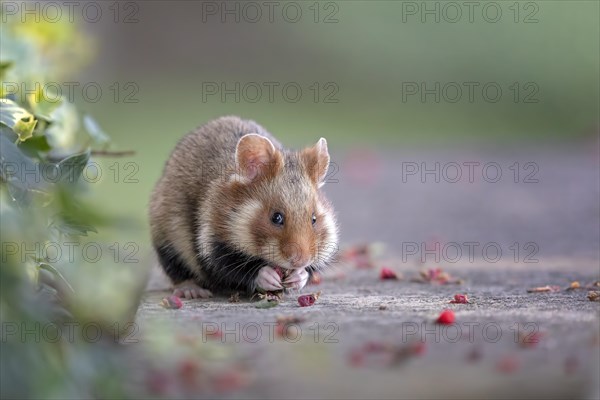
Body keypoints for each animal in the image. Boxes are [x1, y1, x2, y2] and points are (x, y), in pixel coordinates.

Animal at [148, 115, 340, 296]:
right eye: (276, 217)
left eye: (314, 219)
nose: (301, 260)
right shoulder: (213, 244)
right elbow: (235, 268)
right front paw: (267, 276)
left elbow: (308, 272)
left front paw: (298, 276)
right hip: (168, 240)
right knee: (177, 272)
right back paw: (193, 291)